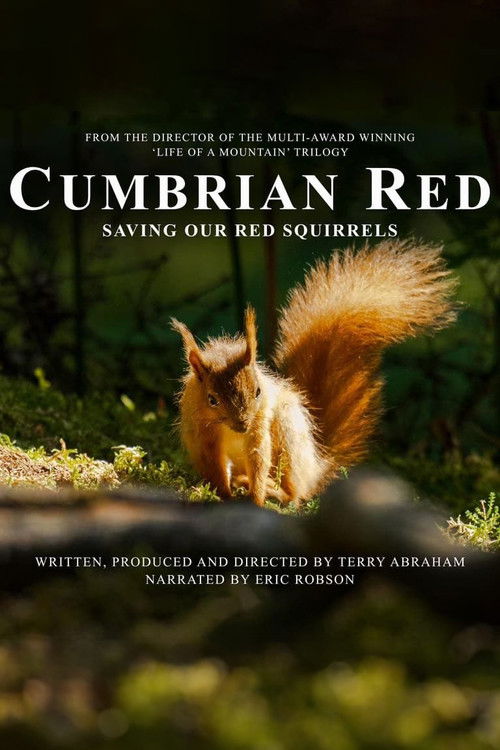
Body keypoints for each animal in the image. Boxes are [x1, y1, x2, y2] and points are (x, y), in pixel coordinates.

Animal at [171, 239, 457, 507]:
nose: (242, 424)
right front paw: (223, 495)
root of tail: (314, 468)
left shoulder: (260, 422)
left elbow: (259, 458)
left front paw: (256, 499)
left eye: (258, 391)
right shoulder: (203, 435)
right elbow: (214, 466)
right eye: (212, 399)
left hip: (287, 431)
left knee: (295, 490)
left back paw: (277, 492)